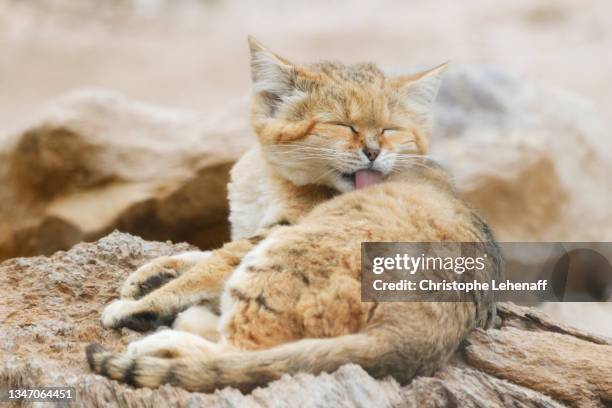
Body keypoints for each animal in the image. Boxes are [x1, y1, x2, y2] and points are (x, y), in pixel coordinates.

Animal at [86, 37, 500, 392]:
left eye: (390, 130)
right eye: (342, 124)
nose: (373, 152)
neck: (267, 174)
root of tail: (422, 334)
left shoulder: (273, 231)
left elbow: (211, 264)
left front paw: (141, 302)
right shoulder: (252, 231)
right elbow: (202, 254)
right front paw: (150, 274)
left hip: (285, 255)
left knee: (241, 354)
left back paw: (164, 342)